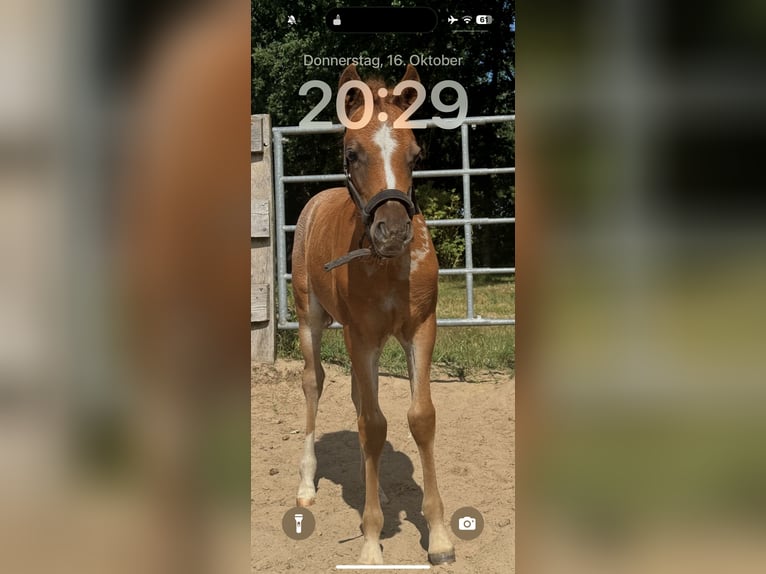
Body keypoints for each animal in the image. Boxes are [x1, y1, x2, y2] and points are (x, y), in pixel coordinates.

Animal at [291, 64, 456, 565]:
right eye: (352, 153)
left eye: (417, 154)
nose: (394, 232)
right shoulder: (359, 336)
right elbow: (372, 425)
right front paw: (370, 542)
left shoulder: (420, 329)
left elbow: (418, 417)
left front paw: (440, 536)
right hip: (310, 320)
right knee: (315, 383)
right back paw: (306, 485)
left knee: (365, 400)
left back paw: (377, 489)